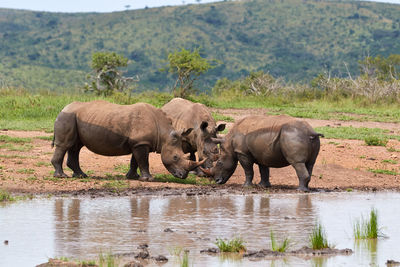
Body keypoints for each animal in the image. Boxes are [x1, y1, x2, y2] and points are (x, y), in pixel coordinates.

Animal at [51, 101, 205, 182]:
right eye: (175, 157)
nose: (183, 176)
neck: (164, 134)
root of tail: (64, 108)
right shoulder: (141, 143)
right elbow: (143, 161)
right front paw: (148, 179)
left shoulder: (139, 142)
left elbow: (135, 161)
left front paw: (133, 177)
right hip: (67, 117)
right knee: (65, 145)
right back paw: (62, 176)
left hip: (75, 118)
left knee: (75, 146)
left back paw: (81, 175)